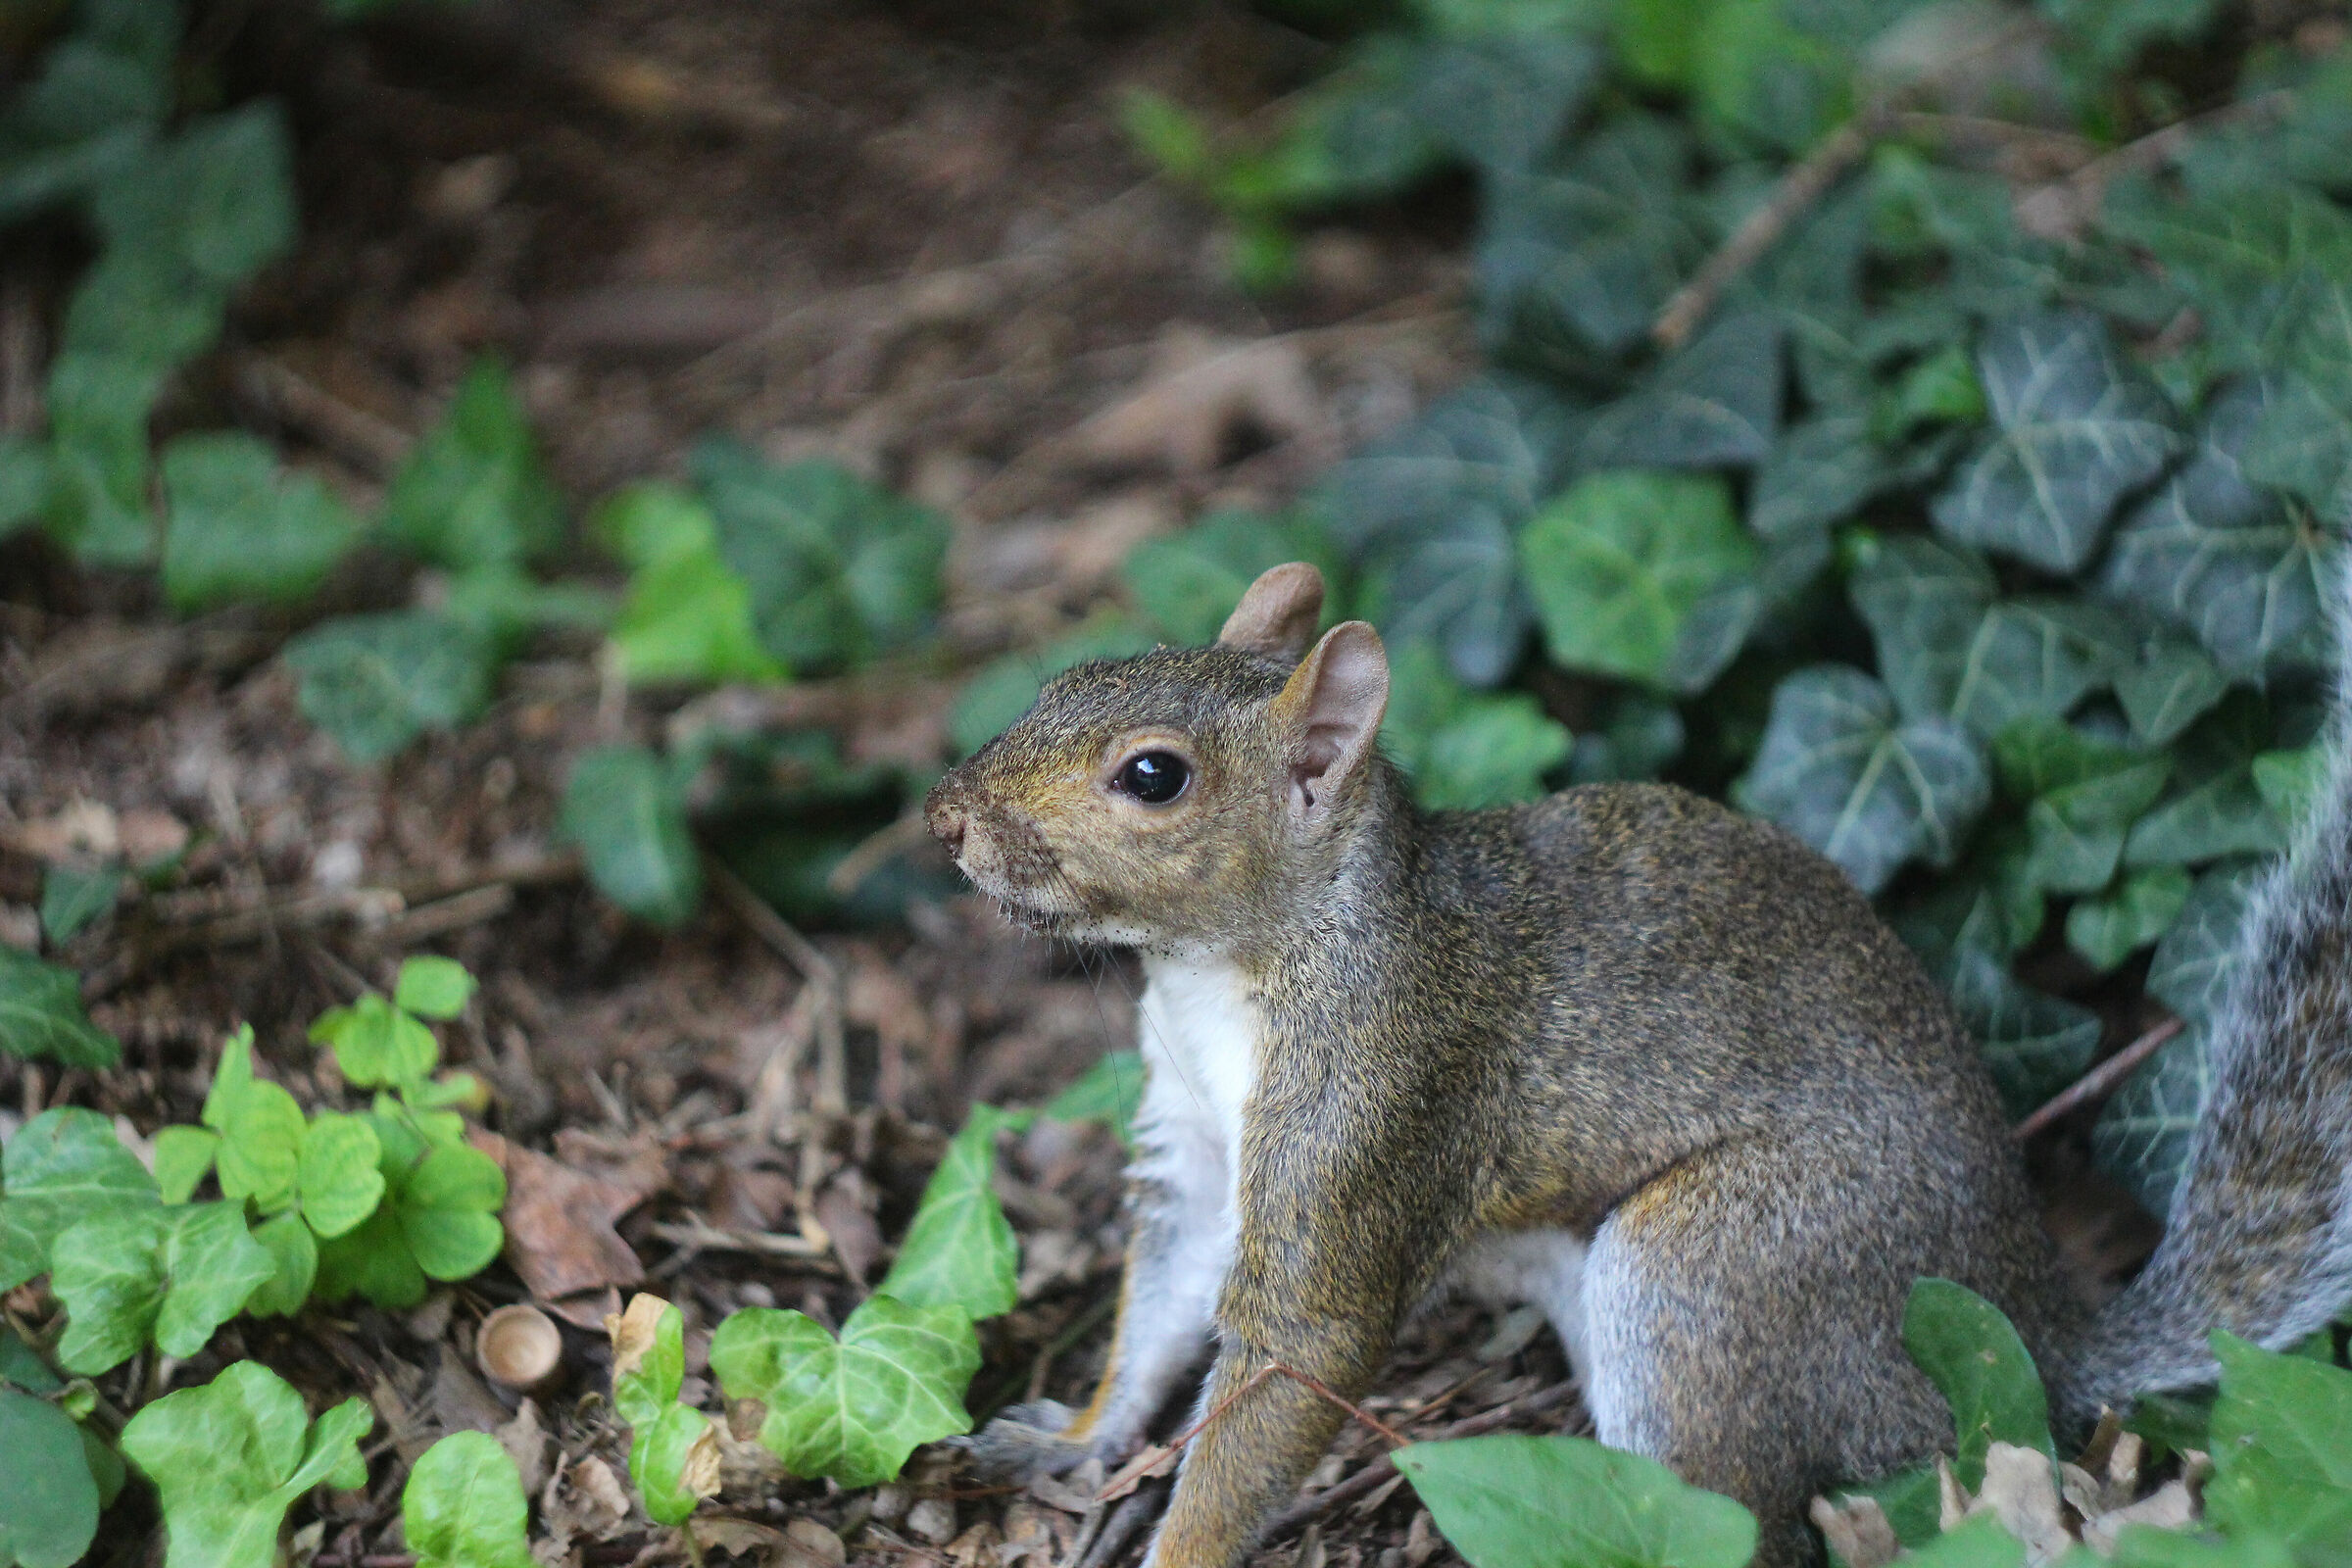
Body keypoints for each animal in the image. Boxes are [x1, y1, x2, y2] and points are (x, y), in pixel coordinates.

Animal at [922, 560, 2352, 1568]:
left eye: (1153, 777)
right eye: (1060, 682)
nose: (943, 819)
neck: (1228, 968)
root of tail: (2032, 1324)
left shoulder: (1379, 1096)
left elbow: (1296, 1352)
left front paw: (1175, 1542)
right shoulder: (1199, 1146)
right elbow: (1163, 1297)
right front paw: (1077, 1436)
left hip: (1721, 1270)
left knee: (1744, 1524)